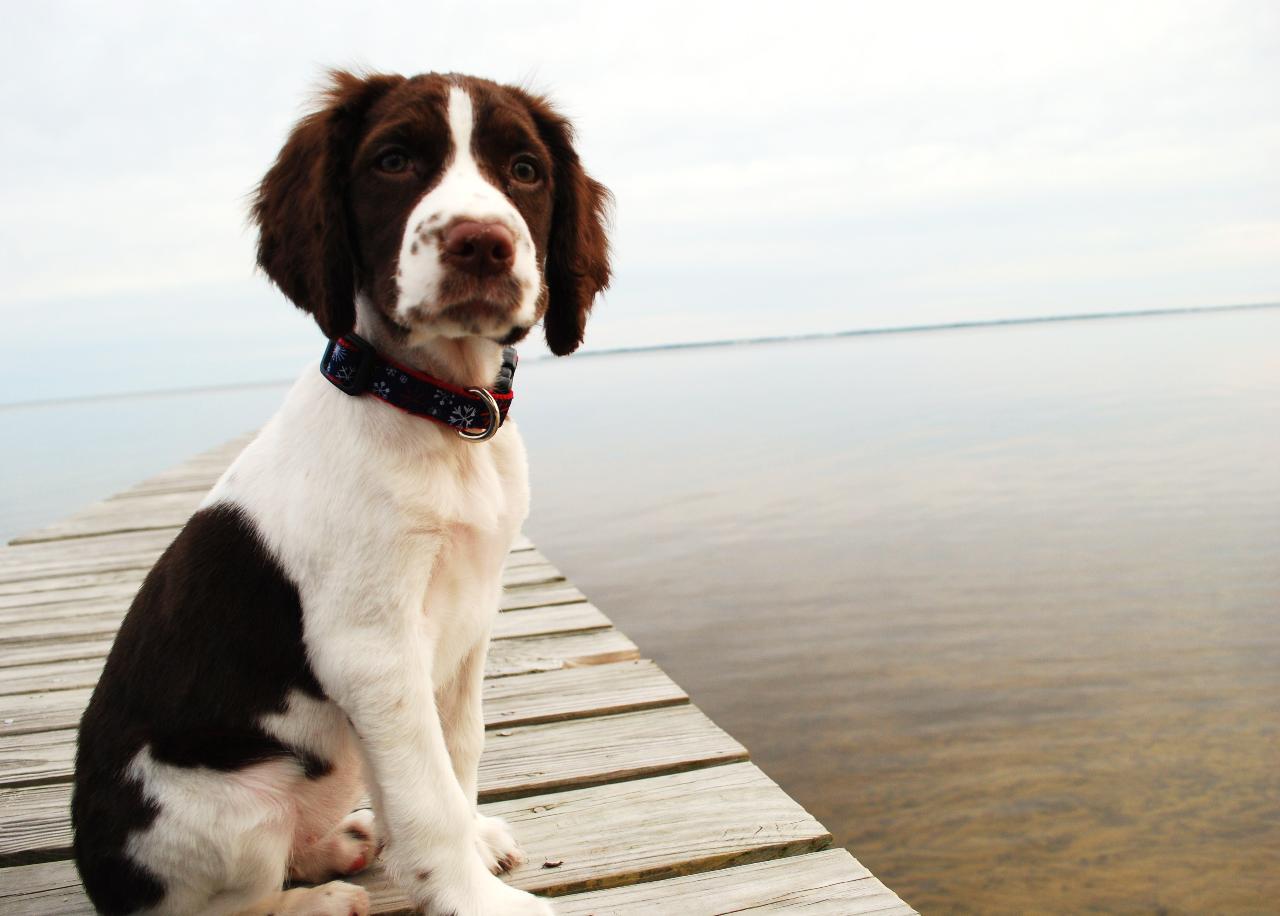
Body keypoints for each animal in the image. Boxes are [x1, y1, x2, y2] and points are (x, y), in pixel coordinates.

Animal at [72, 68, 611, 910]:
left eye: (525, 170)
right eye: (392, 161)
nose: (482, 243)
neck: (436, 411)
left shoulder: (468, 621)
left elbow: (457, 751)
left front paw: (470, 847)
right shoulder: (370, 646)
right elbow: (426, 791)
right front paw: (472, 898)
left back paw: (340, 844)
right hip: (233, 809)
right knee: (228, 902)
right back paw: (321, 895)